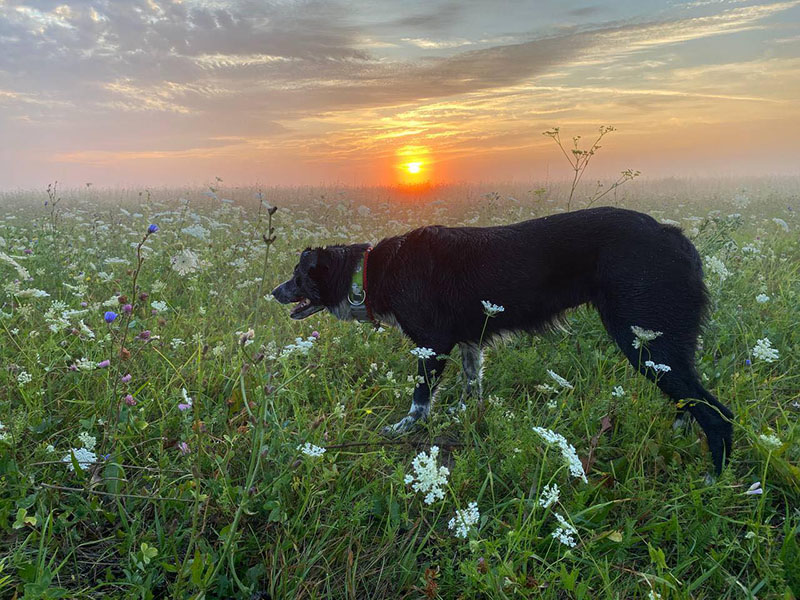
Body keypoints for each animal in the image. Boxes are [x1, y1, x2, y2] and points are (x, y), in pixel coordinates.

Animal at [272, 206, 736, 474]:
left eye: (297, 276)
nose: (275, 291)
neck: (370, 270)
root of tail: (673, 235)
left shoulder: (432, 345)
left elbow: (420, 401)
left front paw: (404, 429)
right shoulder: (467, 343)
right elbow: (471, 386)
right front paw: (465, 417)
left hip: (645, 340)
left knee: (718, 414)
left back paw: (713, 480)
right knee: (690, 402)